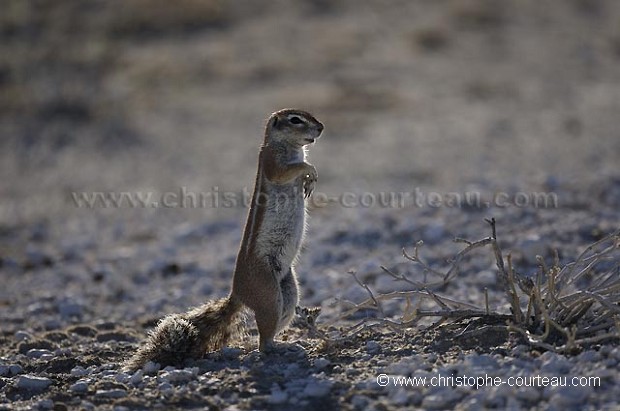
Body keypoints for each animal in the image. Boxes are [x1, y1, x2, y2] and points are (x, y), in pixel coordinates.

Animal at [123, 108, 322, 370]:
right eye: (295, 120)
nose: (321, 128)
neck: (287, 145)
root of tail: (238, 293)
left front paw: (310, 181)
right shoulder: (272, 161)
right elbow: (289, 170)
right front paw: (310, 169)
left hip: (288, 291)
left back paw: (289, 343)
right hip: (268, 293)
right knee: (263, 340)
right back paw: (279, 348)